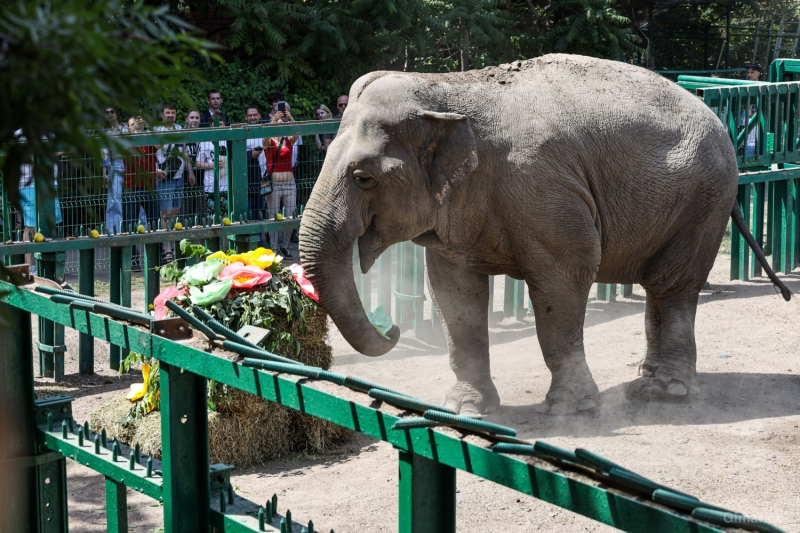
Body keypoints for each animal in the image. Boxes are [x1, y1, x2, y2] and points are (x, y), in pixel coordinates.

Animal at [296, 54, 792, 418]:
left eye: (363, 178)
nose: (394, 329)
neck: (450, 87)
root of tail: (715, 115)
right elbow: (454, 296)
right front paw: (465, 410)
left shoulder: (546, 194)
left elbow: (564, 283)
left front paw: (572, 411)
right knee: (661, 286)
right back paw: (647, 378)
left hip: (704, 201)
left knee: (674, 284)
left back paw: (668, 392)